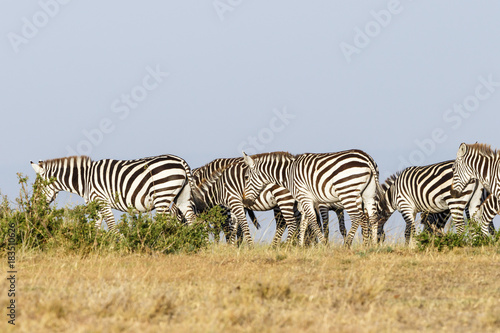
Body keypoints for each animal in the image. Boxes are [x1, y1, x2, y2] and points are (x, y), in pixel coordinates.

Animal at [29, 154, 197, 232]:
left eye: (36, 187)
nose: (33, 207)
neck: (85, 179)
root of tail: (180, 161)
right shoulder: (96, 204)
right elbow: (96, 226)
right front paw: (96, 247)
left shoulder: (101, 200)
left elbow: (111, 225)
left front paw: (119, 246)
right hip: (182, 196)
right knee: (192, 218)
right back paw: (196, 243)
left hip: (162, 196)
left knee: (167, 222)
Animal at [243, 149, 382, 245]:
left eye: (246, 177)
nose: (245, 201)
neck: (288, 173)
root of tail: (366, 158)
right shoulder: (302, 200)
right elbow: (304, 222)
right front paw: (300, 246)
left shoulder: (305, 197)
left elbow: (313, 222)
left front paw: (324, 244)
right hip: (367, 194)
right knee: (372, 218)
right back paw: (371, 245)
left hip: (347, 192)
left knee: (356, 217)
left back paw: (347, 245)